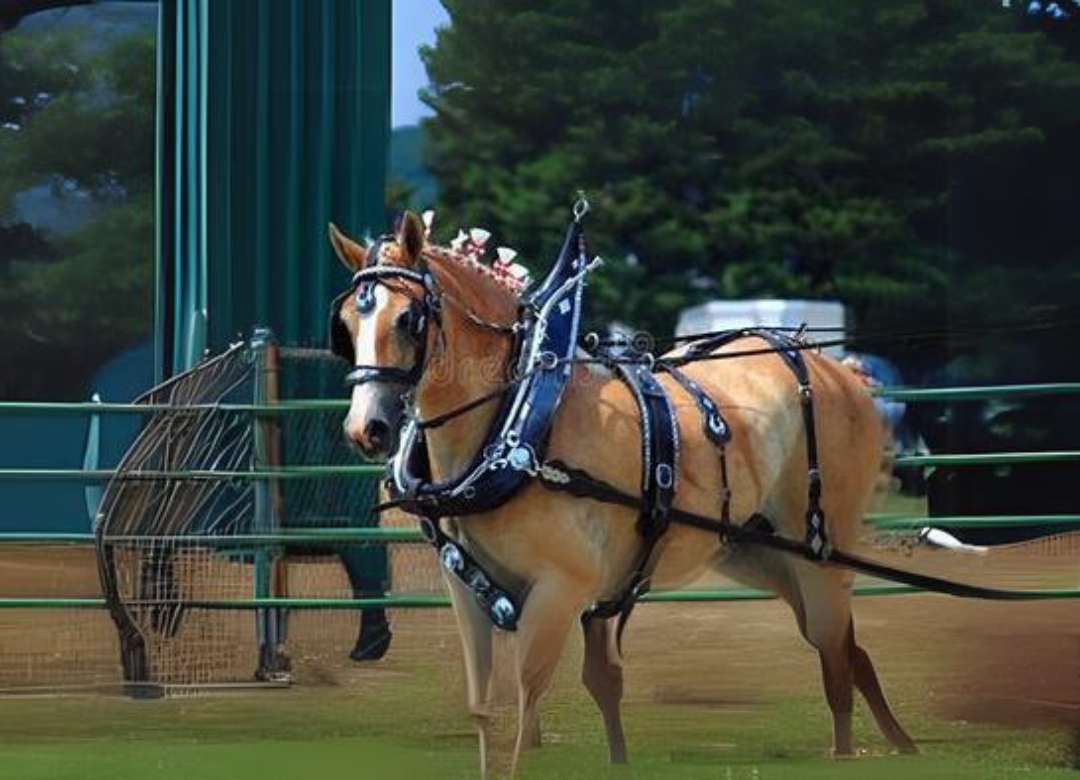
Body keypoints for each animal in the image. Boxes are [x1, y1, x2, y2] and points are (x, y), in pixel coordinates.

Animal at [324, 209, 915, 773]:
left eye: (408, 319)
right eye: (347, 324)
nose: (366, 429)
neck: (518, 424)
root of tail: (835, 368)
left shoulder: (560, 591)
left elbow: (527, 703)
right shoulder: (467, 592)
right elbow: (489, 709)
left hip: (822, 556)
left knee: (835, 665)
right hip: (761, 553)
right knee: (846, 651)